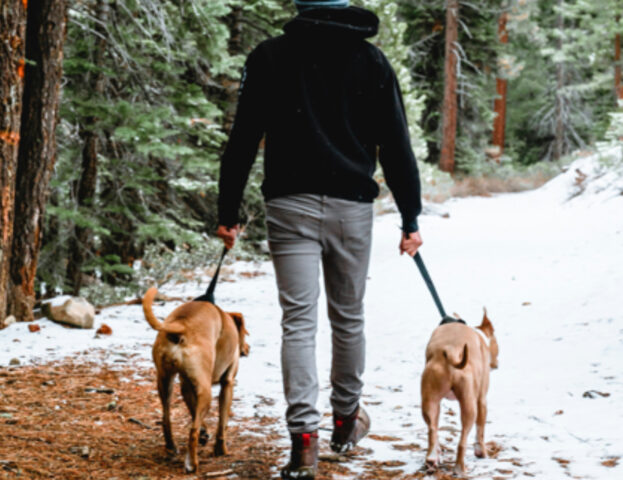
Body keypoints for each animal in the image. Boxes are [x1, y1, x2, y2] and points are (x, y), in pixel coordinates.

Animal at [141, 286, 249, 474]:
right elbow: (222, 422)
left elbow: (193, 411)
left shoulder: (186, 385)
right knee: (193, 431)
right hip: (206, 392)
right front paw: (221, 450)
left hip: (165, 381)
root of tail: (181, 325)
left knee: (166, 418)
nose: (248, 349)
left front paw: (205, 433)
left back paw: (171, 446)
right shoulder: (227, 384)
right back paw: (192, 463)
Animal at [422, 310, 500, 478]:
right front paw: (482, 452)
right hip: (470, 406)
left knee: (432, 430)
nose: (496, 365)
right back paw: (459, 469)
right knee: (462, 441)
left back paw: (432, 458)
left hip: (430, 401)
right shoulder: (481, 401)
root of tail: (451, 354)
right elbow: (480, 431)